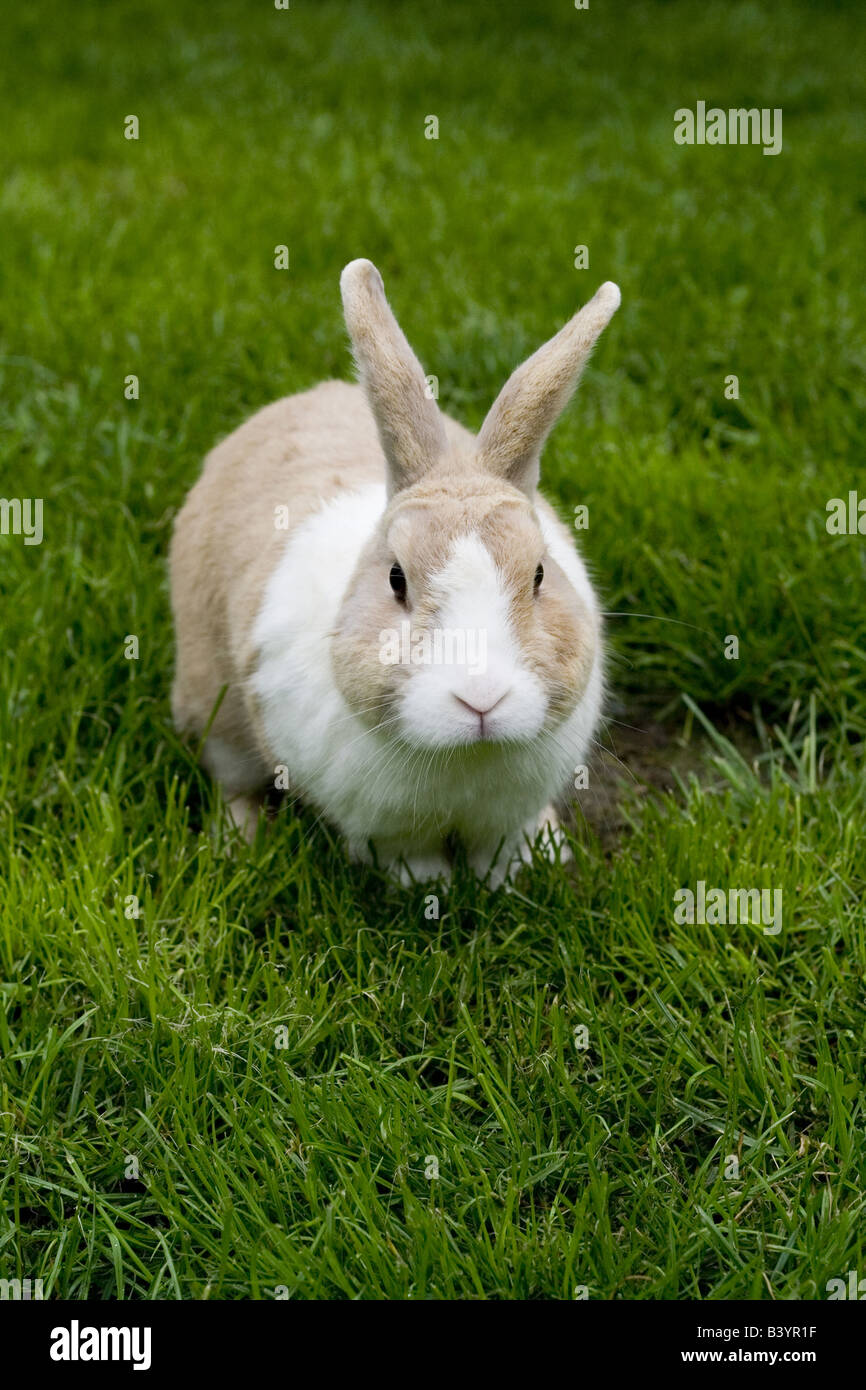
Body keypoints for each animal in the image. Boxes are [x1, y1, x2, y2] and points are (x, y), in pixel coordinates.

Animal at [170, 259, 620, 885]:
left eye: (538, 575)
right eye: (396, 579)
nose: (482, 700)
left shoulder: (506, 815)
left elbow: (501, 844)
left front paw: (516, 871)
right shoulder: (384, 827)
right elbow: (409, 855)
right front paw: (426, 887)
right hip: (214, 702)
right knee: (235, 778)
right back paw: (237, 843)